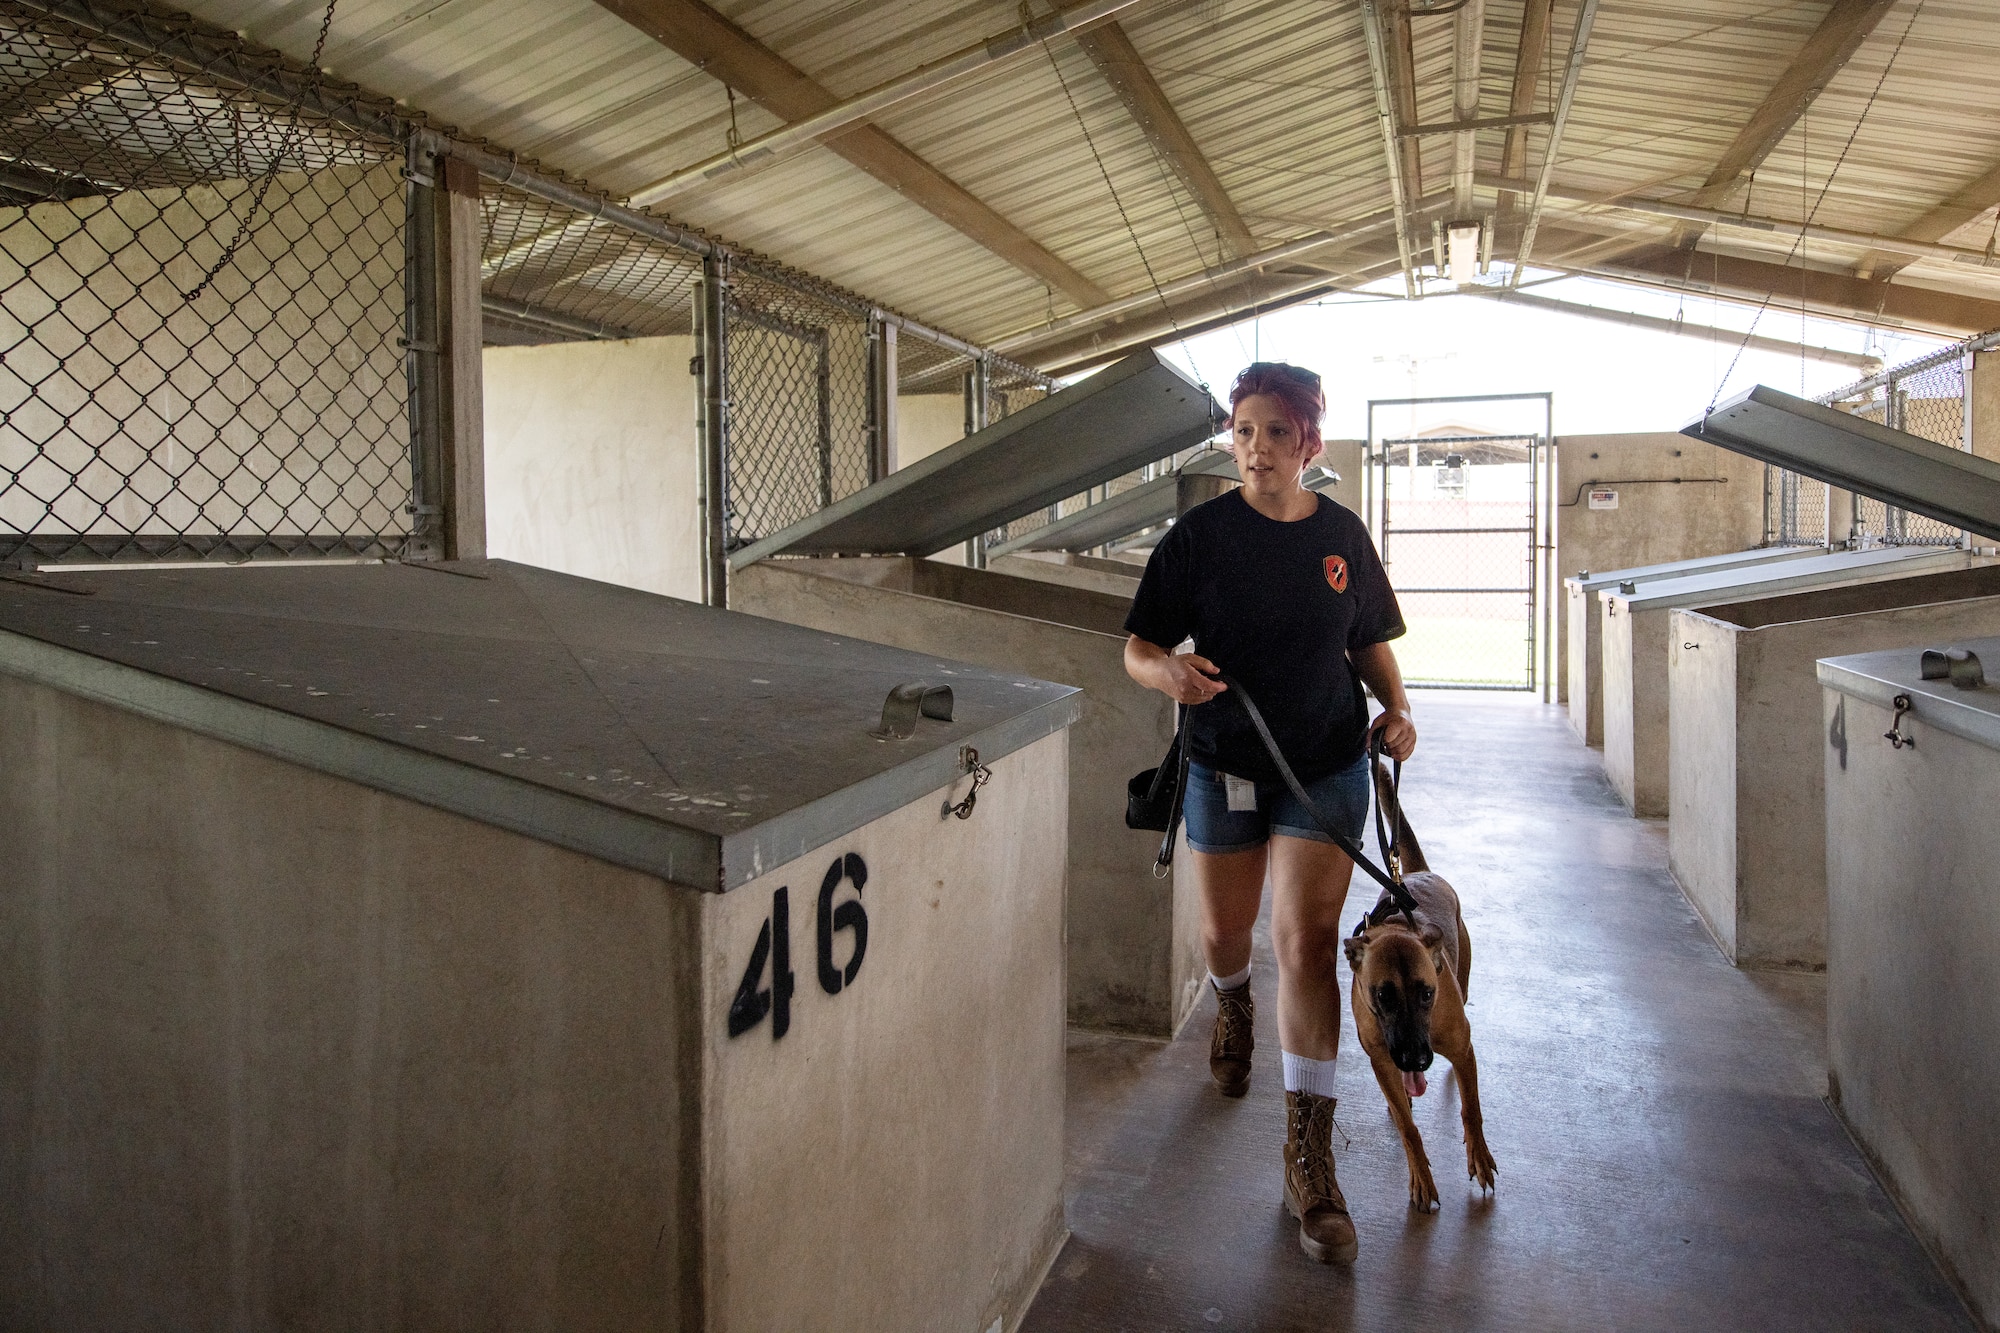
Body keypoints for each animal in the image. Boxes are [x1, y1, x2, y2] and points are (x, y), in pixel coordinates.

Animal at [1344, 768, 1504, 1216]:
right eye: (1382, 996)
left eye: (1427, 994)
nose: (1416, 1058)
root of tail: (1413, 875)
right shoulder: (1381, 1059)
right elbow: (1407, 1127)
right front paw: (1420, 1178)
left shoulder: (1458, 1043)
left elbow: (1472, 1110)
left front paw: (1479, 1157)